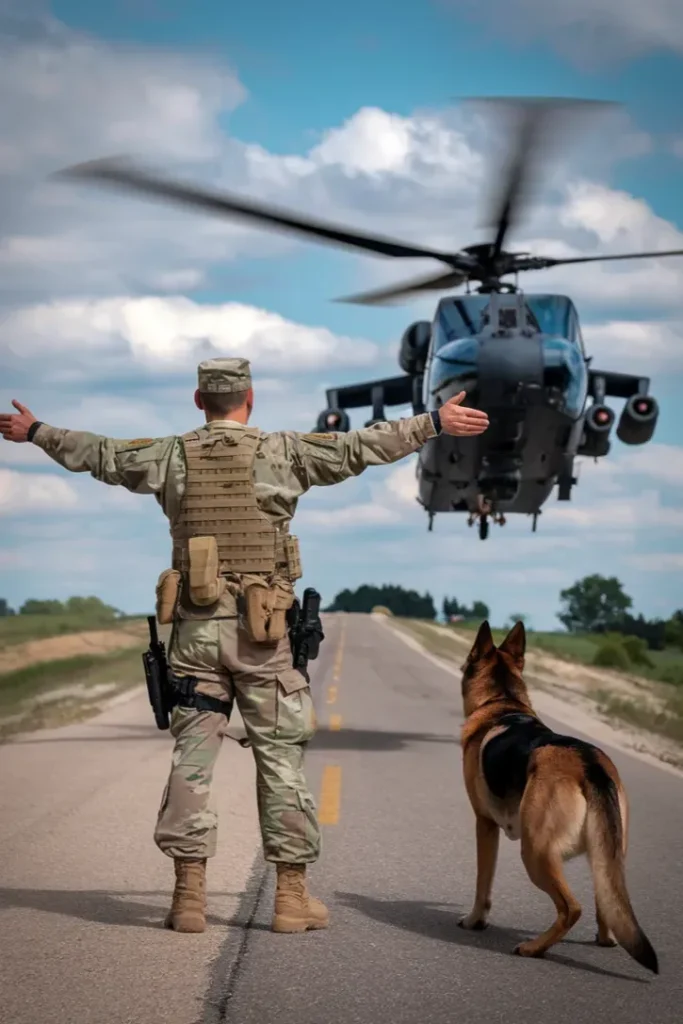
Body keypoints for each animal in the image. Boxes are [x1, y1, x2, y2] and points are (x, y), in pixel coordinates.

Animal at [456, 614, 659, 974]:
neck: (502, 702)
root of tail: (588, 763)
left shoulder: (484, 825)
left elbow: (483, 883)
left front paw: (474, 921)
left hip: (535, 852)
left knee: (571, 908)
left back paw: (534, 947)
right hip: (606, 853)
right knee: (606, 901)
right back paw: (604, 939)